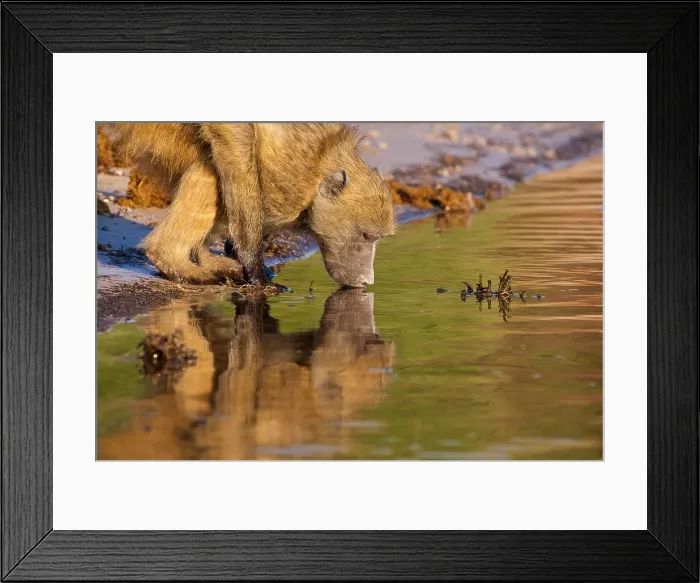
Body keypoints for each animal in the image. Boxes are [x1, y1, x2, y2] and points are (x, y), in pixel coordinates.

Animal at [104, 123, 396, 288]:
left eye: (376, 238)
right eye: (365, 236)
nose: (366, 281)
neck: (319, 160)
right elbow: (234, 134)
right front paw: (255, 272)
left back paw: (203, 259)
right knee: (211, 166)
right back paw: (171, 259)